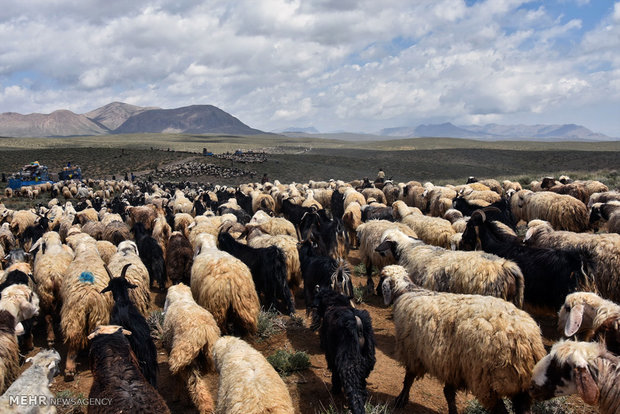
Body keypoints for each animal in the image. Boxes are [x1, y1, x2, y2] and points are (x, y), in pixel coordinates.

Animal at [60, 243, 113, 382]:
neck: (87, 252)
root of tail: (88, 296)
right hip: (92, 317)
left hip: (74, 316)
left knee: (73, 340)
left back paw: (70, 369)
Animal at [162, 284, 220, 414]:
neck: (181, 298)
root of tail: (204, 330)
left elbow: (177, 378)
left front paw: (176, 396)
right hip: (205, 358)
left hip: (185, 355)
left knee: (195, 384)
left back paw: (203, 407)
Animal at [380, 270, 544, 412]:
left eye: (381, 278)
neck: (408, 292)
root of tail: (526, 340)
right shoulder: (452, 364)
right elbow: (448, 393)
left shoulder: (412, 352)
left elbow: (408, 378)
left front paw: (401, 399)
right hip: (523, 388)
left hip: (488, 382)